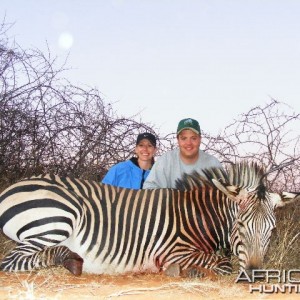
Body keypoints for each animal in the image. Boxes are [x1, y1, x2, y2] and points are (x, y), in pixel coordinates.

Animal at [0, 162, 298, 276]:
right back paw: (70, 260)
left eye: (271, 230)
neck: (197, 217)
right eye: (241, 226)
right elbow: (221, 264)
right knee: (11, 261)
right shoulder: (172, 251)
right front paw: (188, 272)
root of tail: (11, 188)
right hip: (60, 219)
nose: (255, 274)